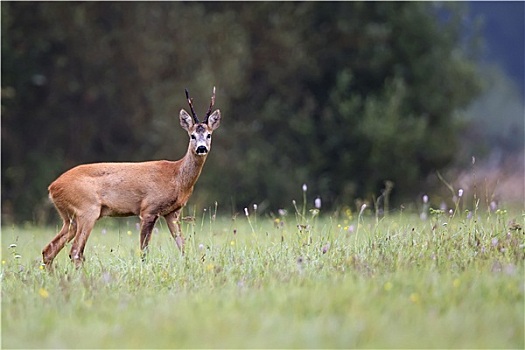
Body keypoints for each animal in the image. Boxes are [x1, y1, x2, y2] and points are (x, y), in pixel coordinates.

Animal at [42, 87, 219, 268]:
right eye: (192, 135)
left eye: (209, 135)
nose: (201, 148)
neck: (176, 176)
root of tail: (52, 187)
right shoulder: (148, 209)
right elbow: (144, 250)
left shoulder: (172, 213)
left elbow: (183, 247)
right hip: (87, 209)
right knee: (76, 251)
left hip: (70, 218)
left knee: (49, 250)